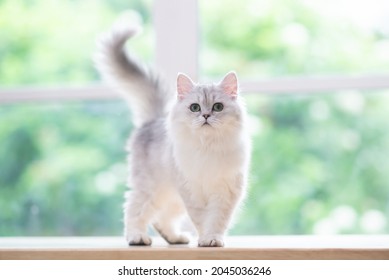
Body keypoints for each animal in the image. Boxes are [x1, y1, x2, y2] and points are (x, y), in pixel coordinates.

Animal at [95, 20, 250, 247]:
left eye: (218, 107)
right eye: (194, 108)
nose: (205, 116)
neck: (207, 147)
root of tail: (153, 119)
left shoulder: (225, 191)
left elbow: (216, 220)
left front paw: (212, 239)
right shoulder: (191, 191)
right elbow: (201, 219)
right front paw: (205, 239)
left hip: (170, 196)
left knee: (161, 219)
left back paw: (176, 238)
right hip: (150, 188)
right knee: (134, 210)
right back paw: (137, 238)